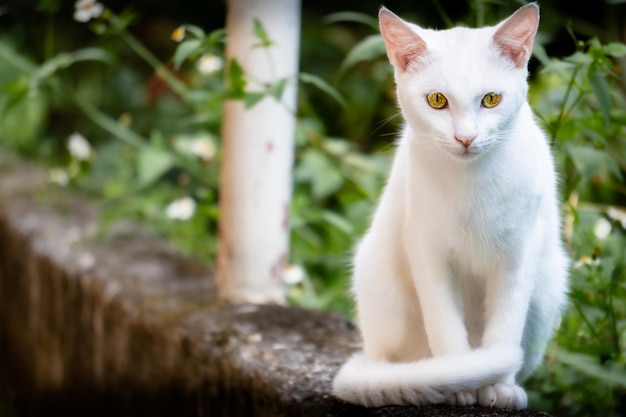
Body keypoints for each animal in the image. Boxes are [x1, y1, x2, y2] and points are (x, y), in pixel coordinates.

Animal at [334, 1, 568, 408]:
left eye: (491, 99)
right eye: (437, 100)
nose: (465, 138)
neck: (471, 184)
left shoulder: (520, 253)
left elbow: (505, 327)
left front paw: (499, 387)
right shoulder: (427, 252)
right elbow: (445, 326)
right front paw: (460, 381)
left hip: (548, 289)